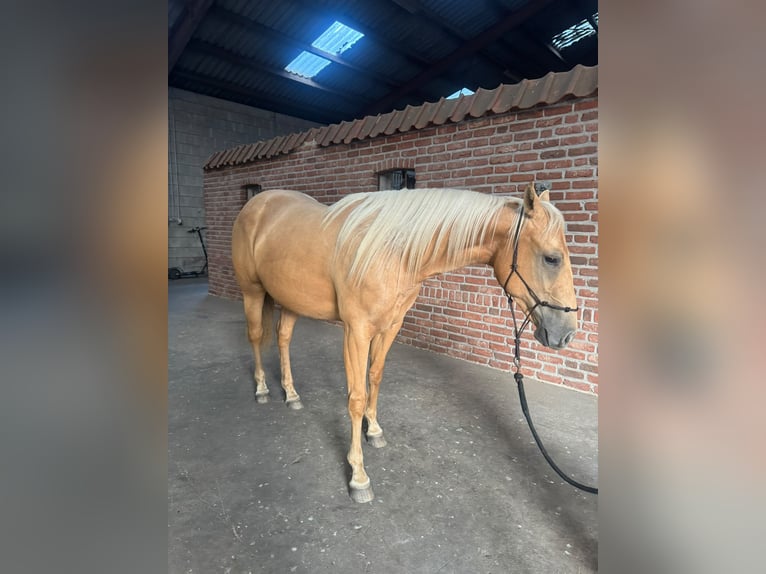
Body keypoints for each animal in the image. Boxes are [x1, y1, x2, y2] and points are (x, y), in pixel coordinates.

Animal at [231, 183, 578, 503]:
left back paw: (291, 394)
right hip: (252, 292)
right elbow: (356, 398)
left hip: (291, 299)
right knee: (256, 336)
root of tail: (257, 203)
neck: (392, 252)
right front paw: (358, 476)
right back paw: (262, 389)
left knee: (283, 338)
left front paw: (374, 431)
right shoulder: (356, 331)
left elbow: (375, 377)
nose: (567, 333)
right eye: (552, 259)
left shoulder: (390, 327)